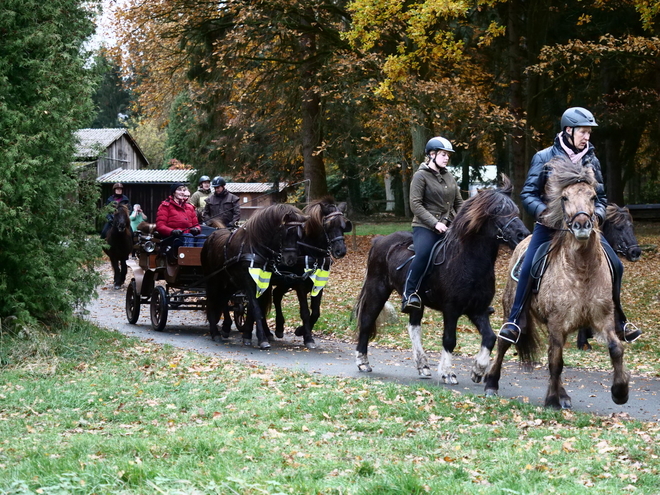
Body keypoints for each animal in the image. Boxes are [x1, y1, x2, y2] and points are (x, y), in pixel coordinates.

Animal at [201, 203, 306, 350]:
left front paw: (248, 335)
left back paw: (224, 328)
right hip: (212, 280)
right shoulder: (248, 281)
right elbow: (256, 309)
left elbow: (254, 307)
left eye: (300, 235)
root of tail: (211, 236)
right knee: (211, 302)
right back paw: (215, 333)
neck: (255, 247)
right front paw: (262, 339)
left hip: (230, 282)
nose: (291, 260)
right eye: (287, 233)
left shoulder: (263, 281)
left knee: (223, 300)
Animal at [266, 198, 354, 348]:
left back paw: (278, 328)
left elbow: (316, 312)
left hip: (285, 281)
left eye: (344, 226)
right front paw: (308, 338)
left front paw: (300, 330)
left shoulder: (318, 283)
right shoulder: (300, 285)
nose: (340, 251)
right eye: (328, 226)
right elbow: (305, 312)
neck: (310, 251)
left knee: (276, 295)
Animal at [354, 178, 528, 384]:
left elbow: (490, 338)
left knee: (414, 328)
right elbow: (449, 340)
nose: (522, 235)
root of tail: (379, 240)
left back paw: (423, 366)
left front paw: (478, 370)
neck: (467, 261)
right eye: (497, 211)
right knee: (366, 321)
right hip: (377, 290)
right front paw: (447, 373)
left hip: (416, 302)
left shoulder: (477, 310)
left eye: (515, 210)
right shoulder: (451, 310)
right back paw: (362, 362)